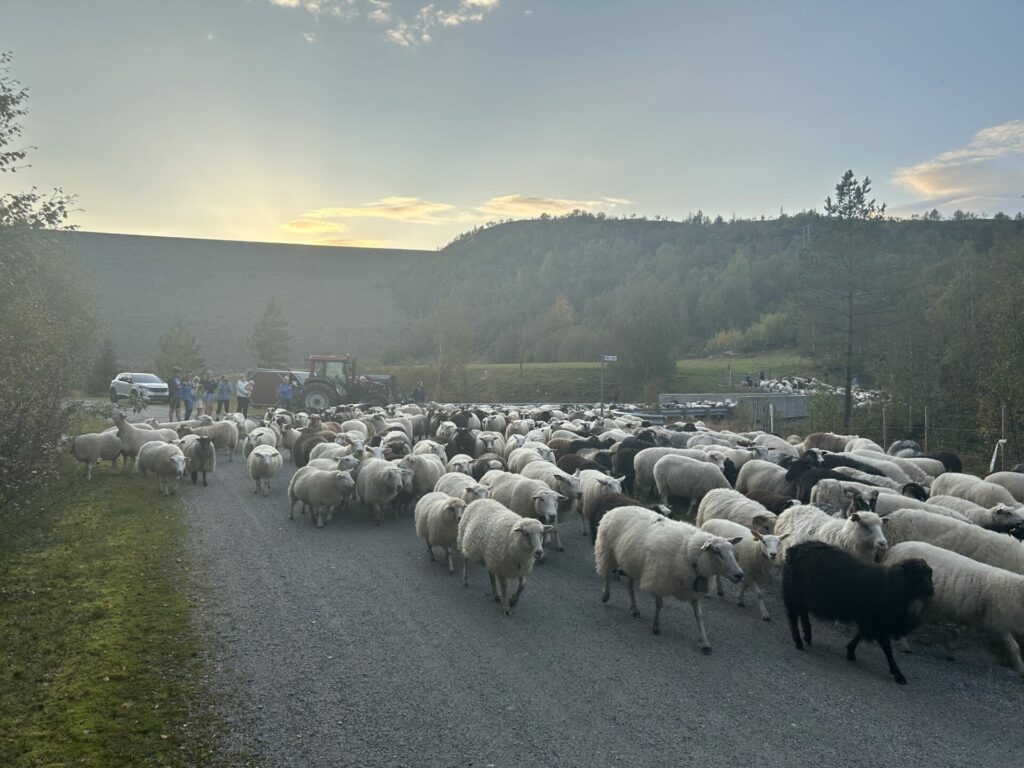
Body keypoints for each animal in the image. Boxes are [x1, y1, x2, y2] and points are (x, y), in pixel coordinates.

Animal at [593, 507, 745, 651]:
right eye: (717, 551)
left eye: (732, 550)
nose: (739, 574)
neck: (688, 552)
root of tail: (614, 509)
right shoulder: (658, 580)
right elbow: (659, 605)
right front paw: (655, 626)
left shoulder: (693, 591)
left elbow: (699, 616)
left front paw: (705, 643)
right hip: (607, 550)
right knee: (606, 574)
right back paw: (605, 596)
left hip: (631, 562)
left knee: (630, 586)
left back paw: (634, 609)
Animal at [778, 540, 933, 684]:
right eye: (918, 575)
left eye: (930, 574)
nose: (931, 591)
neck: (892, 586)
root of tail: (794, 549)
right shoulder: (877, 622)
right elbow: (887, 648)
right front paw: (898, 674)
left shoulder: (870, 620)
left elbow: (861, 634)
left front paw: (850, 651)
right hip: (792, 592)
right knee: (792, 617)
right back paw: (799, 642)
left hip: (801, 595)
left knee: (803, 612)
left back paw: (808, 635)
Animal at [880, 540, 1024, 679]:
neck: (1014, 591)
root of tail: (895, 548)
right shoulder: (996, 622)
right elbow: (1014, 646)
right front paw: (1020, 667)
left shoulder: (977, 618)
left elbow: (964, 633)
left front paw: (951, 648)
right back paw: (902, 643)